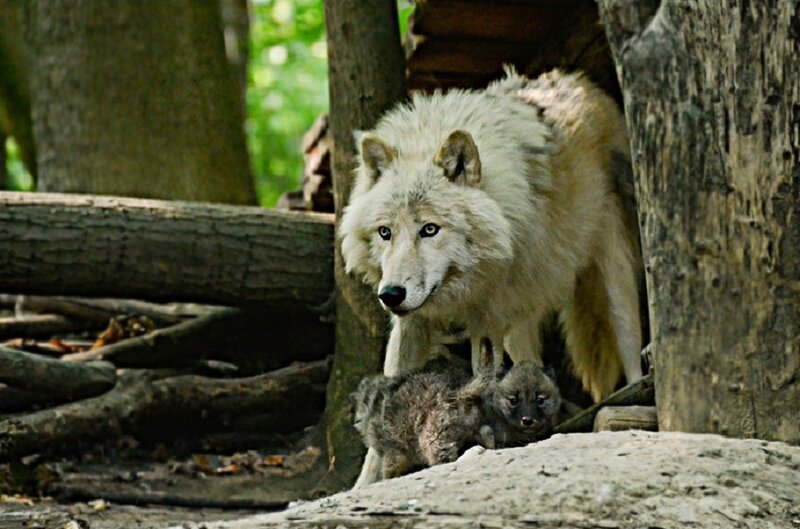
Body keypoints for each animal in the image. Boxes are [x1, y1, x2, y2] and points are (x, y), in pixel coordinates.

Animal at [340, 68, 643, 485]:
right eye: (385, 232)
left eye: (429, 230)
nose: (391, 295)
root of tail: (581, 81)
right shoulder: (415, 324)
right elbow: (390, 397)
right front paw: (366, 483)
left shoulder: (487, 320)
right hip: (522, 315)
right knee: (530, 361)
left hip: (611, 279)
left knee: (630, 352)